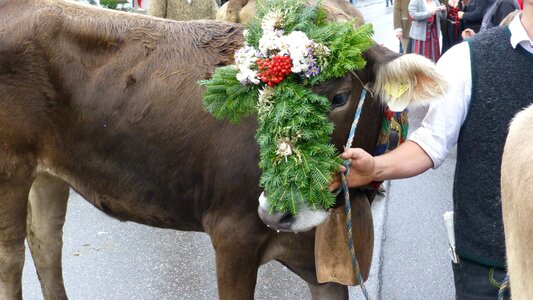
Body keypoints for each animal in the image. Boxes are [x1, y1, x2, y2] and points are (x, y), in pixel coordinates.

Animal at [0, 0, 444, 298]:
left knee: (46, 244)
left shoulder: (322, 270)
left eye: (339, 97)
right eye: (262, 97)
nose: (277, 210)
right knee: (12, 260)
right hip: (10, 169)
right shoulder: (233, 236)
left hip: (49, 172)